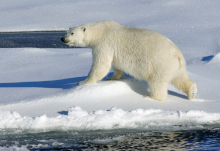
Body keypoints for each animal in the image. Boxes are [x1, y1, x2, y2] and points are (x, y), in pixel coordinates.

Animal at [61, 20, 197, 101]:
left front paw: (83, 82)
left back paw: (151, 97)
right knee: (180, 79)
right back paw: (191, 92)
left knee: (157, 82)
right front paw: (112, 78)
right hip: (175, 66)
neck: (100, 31)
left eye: (72, 33)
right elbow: (116, 66)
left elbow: (101, 64)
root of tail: (178, 55)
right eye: (67, 32)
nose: (62, 38)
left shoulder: (104, 44)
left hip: (161, 64)